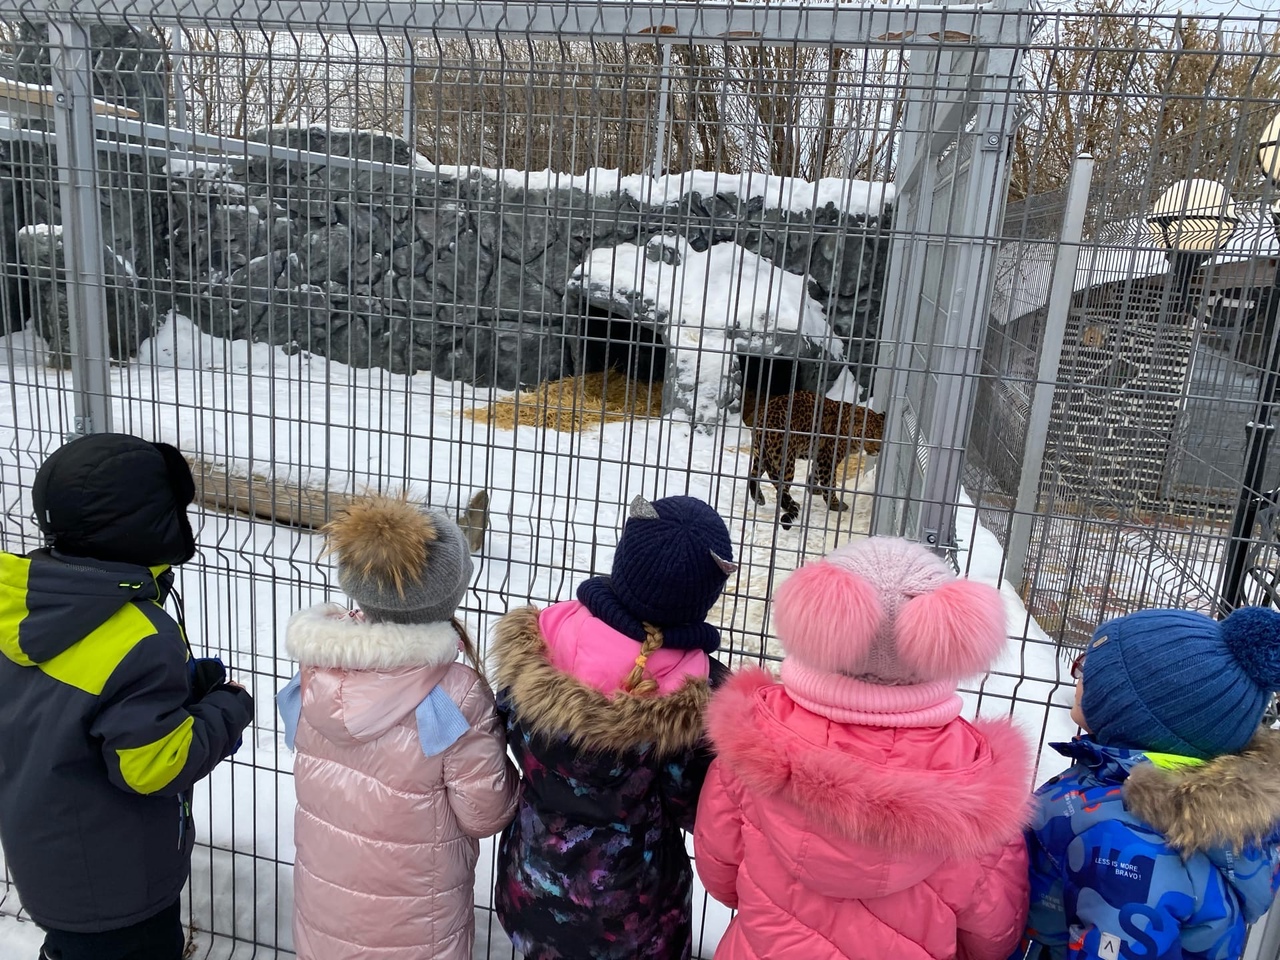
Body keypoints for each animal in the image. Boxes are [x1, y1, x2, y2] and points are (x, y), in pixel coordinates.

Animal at [747, 391, 885, 535]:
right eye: (870, 435)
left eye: (881, 435)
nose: (878, 449)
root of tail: (763, 420)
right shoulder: (828, 459)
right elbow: (830, 483)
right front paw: (835, 504)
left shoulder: (820, 455)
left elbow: (815, 472)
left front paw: (813, 488)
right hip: (785, 462)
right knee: (780, 490)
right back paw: (791, 505)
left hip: (762, 456)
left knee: (753, 474)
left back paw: (758, 497)